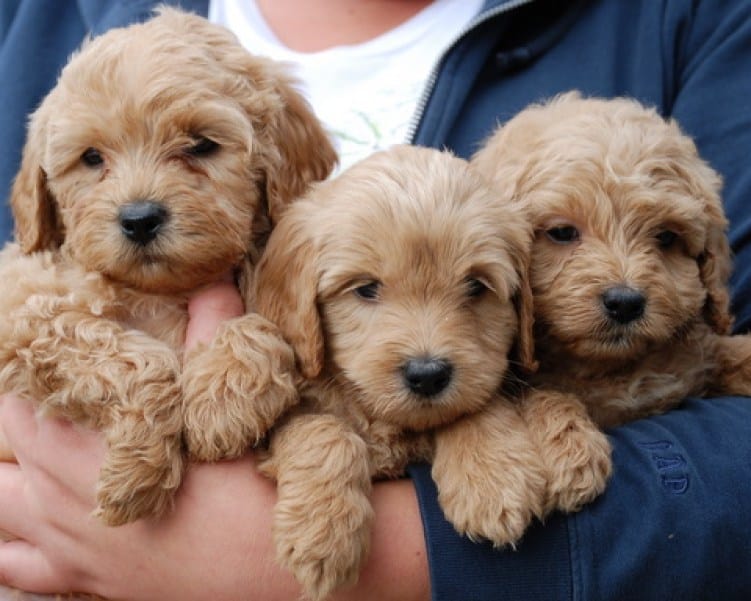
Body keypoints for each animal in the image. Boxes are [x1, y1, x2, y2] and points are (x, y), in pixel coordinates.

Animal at [0, 8, 334, 524]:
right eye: (92, 157)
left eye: (201, 145)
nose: (139, 219)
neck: (162, 291)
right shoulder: (24, 303)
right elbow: (129, 355)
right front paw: (137, 472)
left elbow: (265, 328)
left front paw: (223, 399)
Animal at [250, 145, 548, 600]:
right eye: (366, 288)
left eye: (476, 286)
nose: (427, 374)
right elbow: (324, 429)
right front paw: (323, 532)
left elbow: (475, 404)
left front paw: (494, 477)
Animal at [472, 92, 748, 510]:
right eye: (562, 232)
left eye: (666, 237)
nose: (625, 303)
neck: (608, 368)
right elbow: (538, 395)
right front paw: (566, 451)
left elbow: (729, 352)